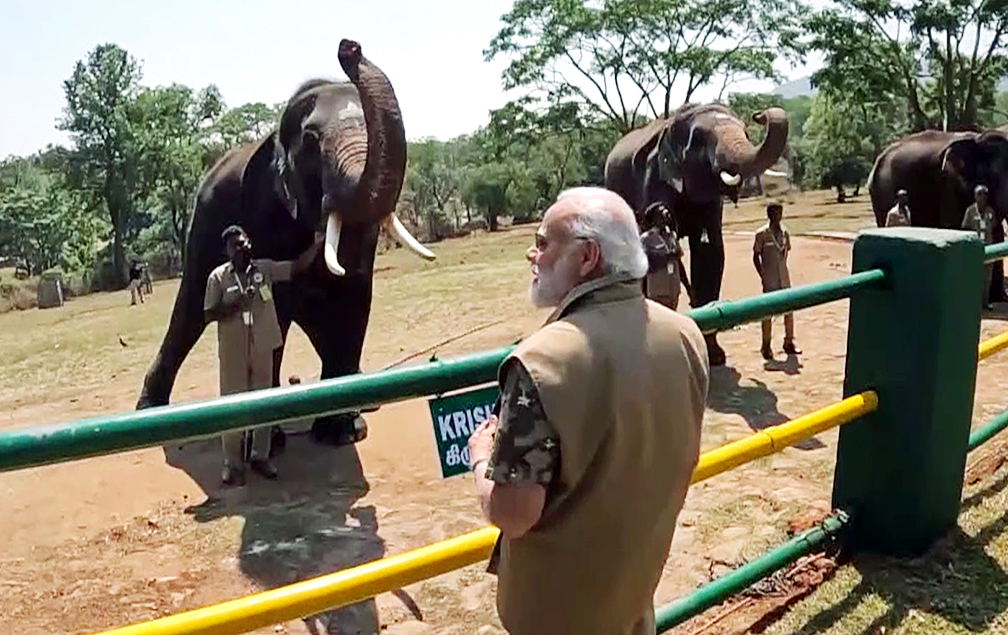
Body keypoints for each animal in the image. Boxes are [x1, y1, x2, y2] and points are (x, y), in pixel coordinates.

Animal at [135, 41, 437, 447]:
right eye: (310, 142)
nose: (349, 48)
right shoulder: (265, 211)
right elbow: (272, 314)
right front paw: (274, 438)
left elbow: (355, 297)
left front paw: (343, 432)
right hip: (199, 232)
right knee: (189, 312)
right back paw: (149, 411)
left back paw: (363, 405)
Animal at [600, 101, 790, 364]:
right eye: (699, 138)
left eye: (746, 131)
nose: (759, 115)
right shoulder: (654, 177)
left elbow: (709, 252)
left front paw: (716, 355)